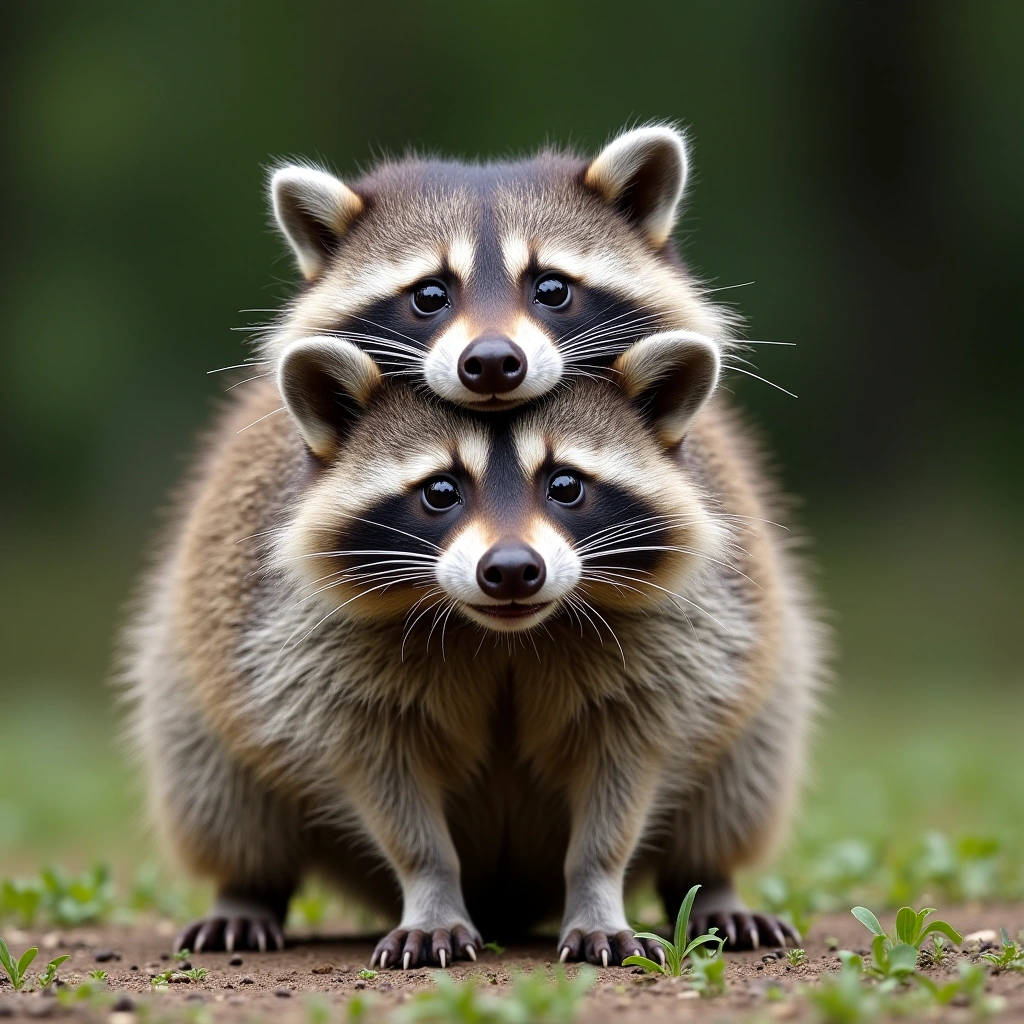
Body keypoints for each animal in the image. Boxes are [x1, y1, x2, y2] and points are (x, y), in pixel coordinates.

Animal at [125, 327, 824, 967]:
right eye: (441, 491)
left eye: (565, 485)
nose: (512, 571)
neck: (499, 633)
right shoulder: (306, 652)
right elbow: (385, 781)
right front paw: (430, 889)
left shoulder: (672, 648)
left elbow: (623, 777)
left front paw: (598, 889)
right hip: (192, 673)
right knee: (215, 783)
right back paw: (245, 891)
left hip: (760, 675)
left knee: (744, 771)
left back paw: (712, 886)